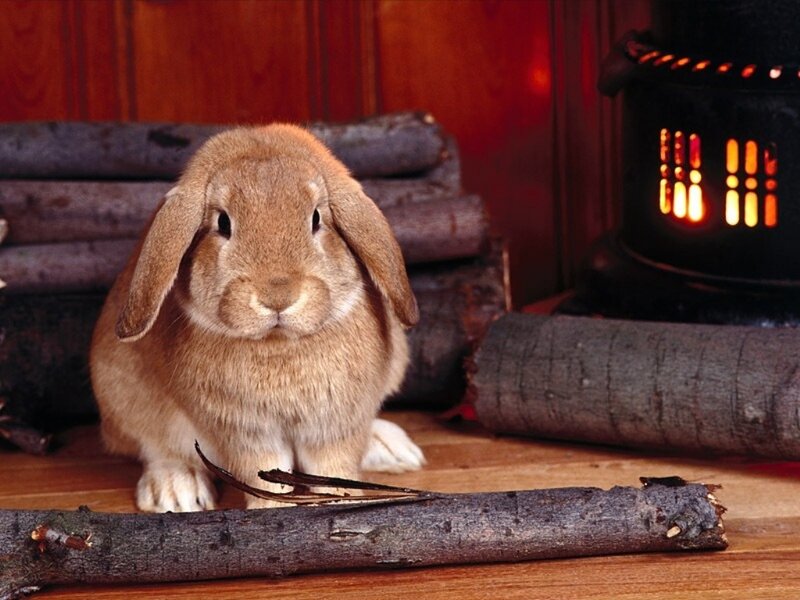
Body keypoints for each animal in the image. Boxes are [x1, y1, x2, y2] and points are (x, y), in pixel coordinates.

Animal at [90, 123, 425, 512]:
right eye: (222, 222)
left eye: (316, 218)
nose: (278, 296)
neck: (279, 345)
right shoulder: (244, 432)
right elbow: (263, 474)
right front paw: (271, 510)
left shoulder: (336, 425)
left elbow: (333, 467)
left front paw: (341, 503)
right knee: (156, 448)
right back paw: (176, 491)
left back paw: (392, 449)